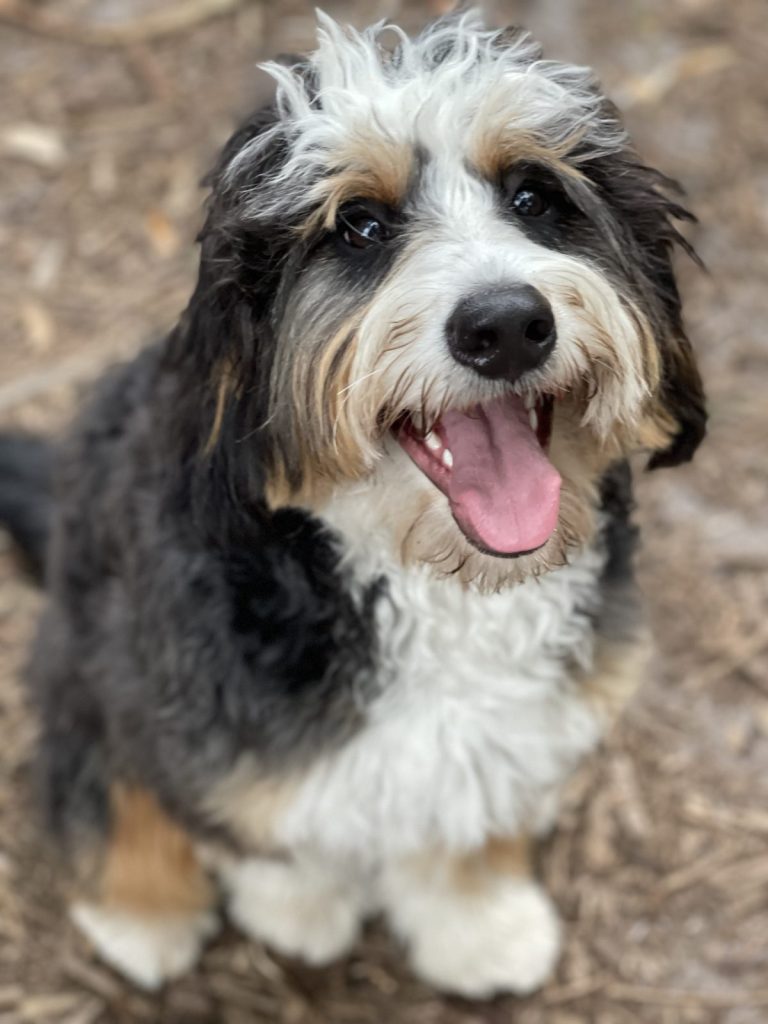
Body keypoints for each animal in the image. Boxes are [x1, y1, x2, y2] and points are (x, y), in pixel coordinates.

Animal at [0, 8, 708, 999]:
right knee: (102, 780)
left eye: (534, 197)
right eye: (360, 226)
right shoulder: (184, 700)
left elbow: (469, 811)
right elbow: (268, 825)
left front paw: (478, 924)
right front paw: (298, 910)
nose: (505, 325)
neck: (438, 586)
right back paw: (142, 911)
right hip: (88, 650)